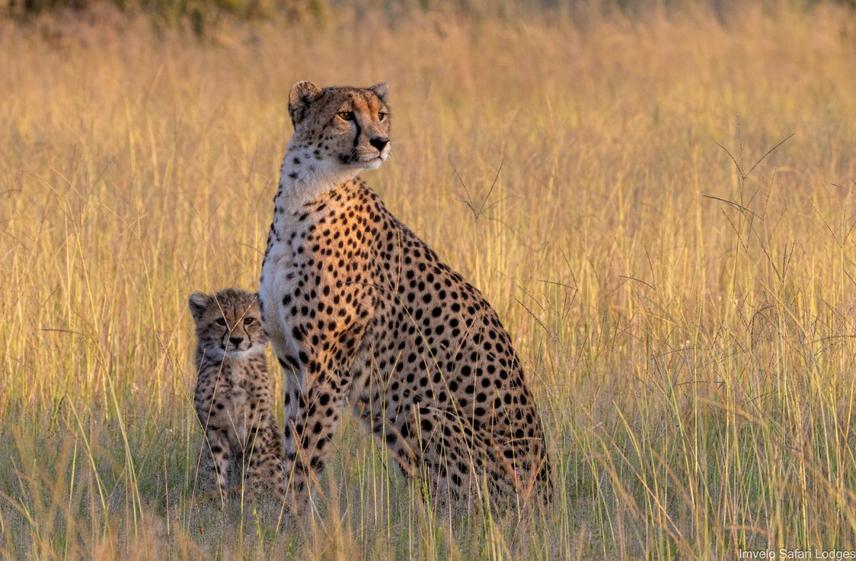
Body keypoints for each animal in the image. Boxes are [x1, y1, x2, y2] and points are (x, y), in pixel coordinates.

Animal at [188, 288, 286, 502]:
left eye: (248, 320)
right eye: (221, 321)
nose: (236, 340)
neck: (235, 366)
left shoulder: (257, 426)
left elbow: (254, 467)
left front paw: (250, 502)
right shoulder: (214, 427)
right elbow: (217, 469)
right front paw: (219, 504)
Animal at [258, 81, 551, 514]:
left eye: (380, 115)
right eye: (345, 115)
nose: (381, 142)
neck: (306, 190)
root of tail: (546, 497)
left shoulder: (326, 365)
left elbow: (307, 452)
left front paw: (291, 516)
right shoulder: (295, 364)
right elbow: (292, 444)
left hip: (419, 407)